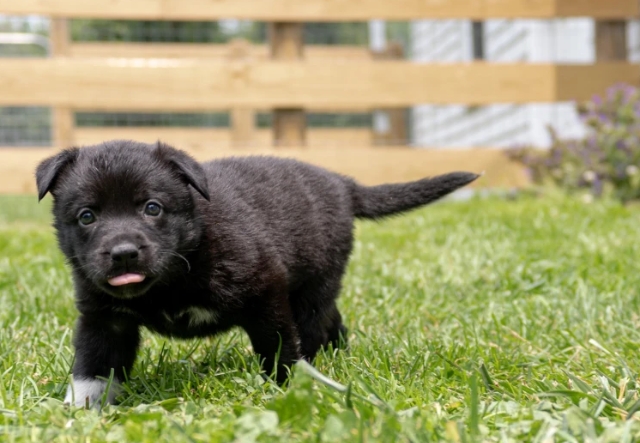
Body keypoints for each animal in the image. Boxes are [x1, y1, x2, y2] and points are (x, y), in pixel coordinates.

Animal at [35, 140, 476, 408]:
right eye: (87, 216)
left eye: (152, 208)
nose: (124, 254)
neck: (174, 276)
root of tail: (342, 183)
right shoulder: (104, 318)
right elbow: (94, 366)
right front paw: (78, 411)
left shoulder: (266, 293)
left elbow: (278, 347)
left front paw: (289, 389)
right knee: (333, 319)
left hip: (312, 287)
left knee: (313, 325)